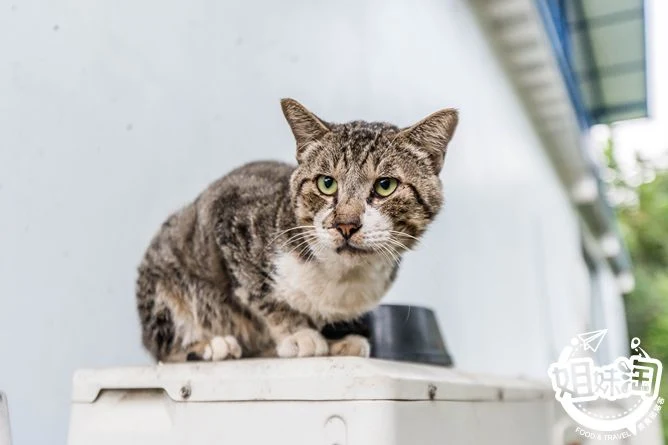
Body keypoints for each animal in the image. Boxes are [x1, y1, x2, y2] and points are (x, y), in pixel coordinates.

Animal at [136, 99, 460, 362]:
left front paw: (334, 341)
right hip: (163, 286)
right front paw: (298, 333)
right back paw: (211, 345)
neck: (341, 275)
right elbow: (261, 294)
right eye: (326, 183)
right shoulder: (227, 216)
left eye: (385, 185)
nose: (345, 223)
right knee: (163, 348)